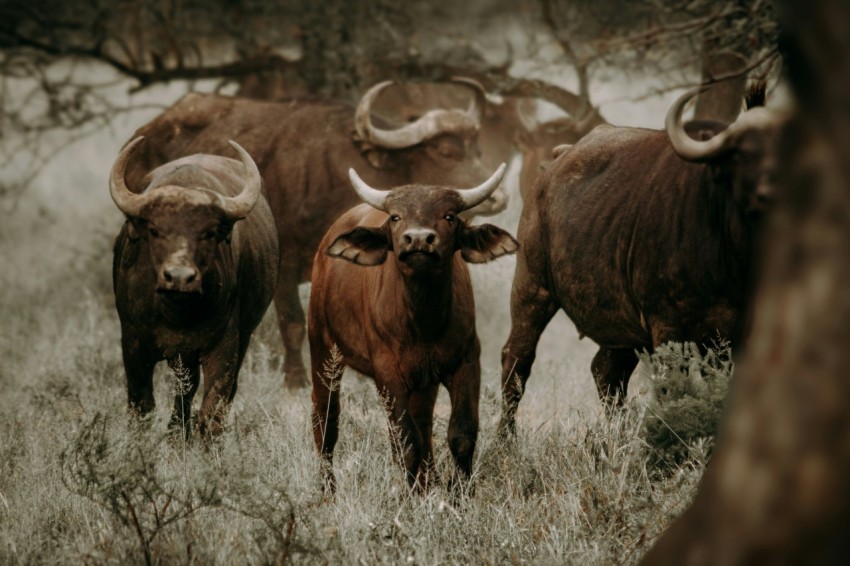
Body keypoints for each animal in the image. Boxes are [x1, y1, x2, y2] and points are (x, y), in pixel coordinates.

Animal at [109, 138, 278, 440]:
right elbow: (142, 407)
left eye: (208, 233)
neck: (177, 314)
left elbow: (212, 411)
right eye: (155, 230)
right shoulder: (132, 343)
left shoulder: (225, 347)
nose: (179, 277)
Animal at [125, 79, 506, 390]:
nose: (498, 198)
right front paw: (295, 381)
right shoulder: (285, 268)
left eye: (478, 150)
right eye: (445, 152)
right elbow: (292, 323)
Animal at [306, 164, 516, 492]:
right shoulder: (388, 373)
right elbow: (406, 441)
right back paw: (329, 489)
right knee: (326, 418)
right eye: (396, 217)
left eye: (449, 215)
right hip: (323, 351)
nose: (418, 240)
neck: (423, 322)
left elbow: (462, 433)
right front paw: (408, 496)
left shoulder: (466, 361)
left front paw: (458, 492)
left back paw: (429, 482)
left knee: (424, 422)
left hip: (423, 381)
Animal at [496, 84, 780, 434]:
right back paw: (505, 438)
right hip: (532, 287)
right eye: (742, 154)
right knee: (517, 359)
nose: (772, 194)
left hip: (620, 324)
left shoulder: (730, 342)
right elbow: (673, 392)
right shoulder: (668, 331)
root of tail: (553, 165)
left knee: (606, 370)